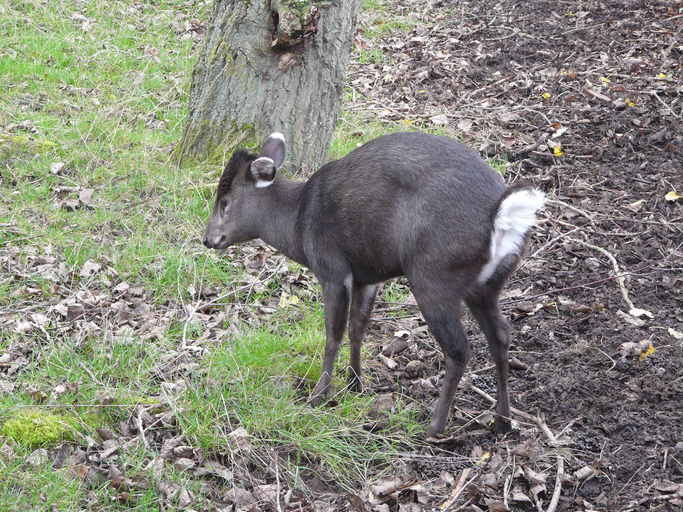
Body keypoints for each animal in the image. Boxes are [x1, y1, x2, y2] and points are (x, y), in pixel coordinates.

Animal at [203, 132, 544, 436]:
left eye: (225, 201)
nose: (208, 239)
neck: (298, 223)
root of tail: (500, 216)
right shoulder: (367, 275)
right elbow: (358, 327)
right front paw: (355, 383)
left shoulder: (333, 269)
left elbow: (333, 335)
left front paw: (319, 396)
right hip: (486, 284)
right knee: (501, 335)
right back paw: (502, 421)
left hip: (434, 276)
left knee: (459, 348)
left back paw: (435, 426)